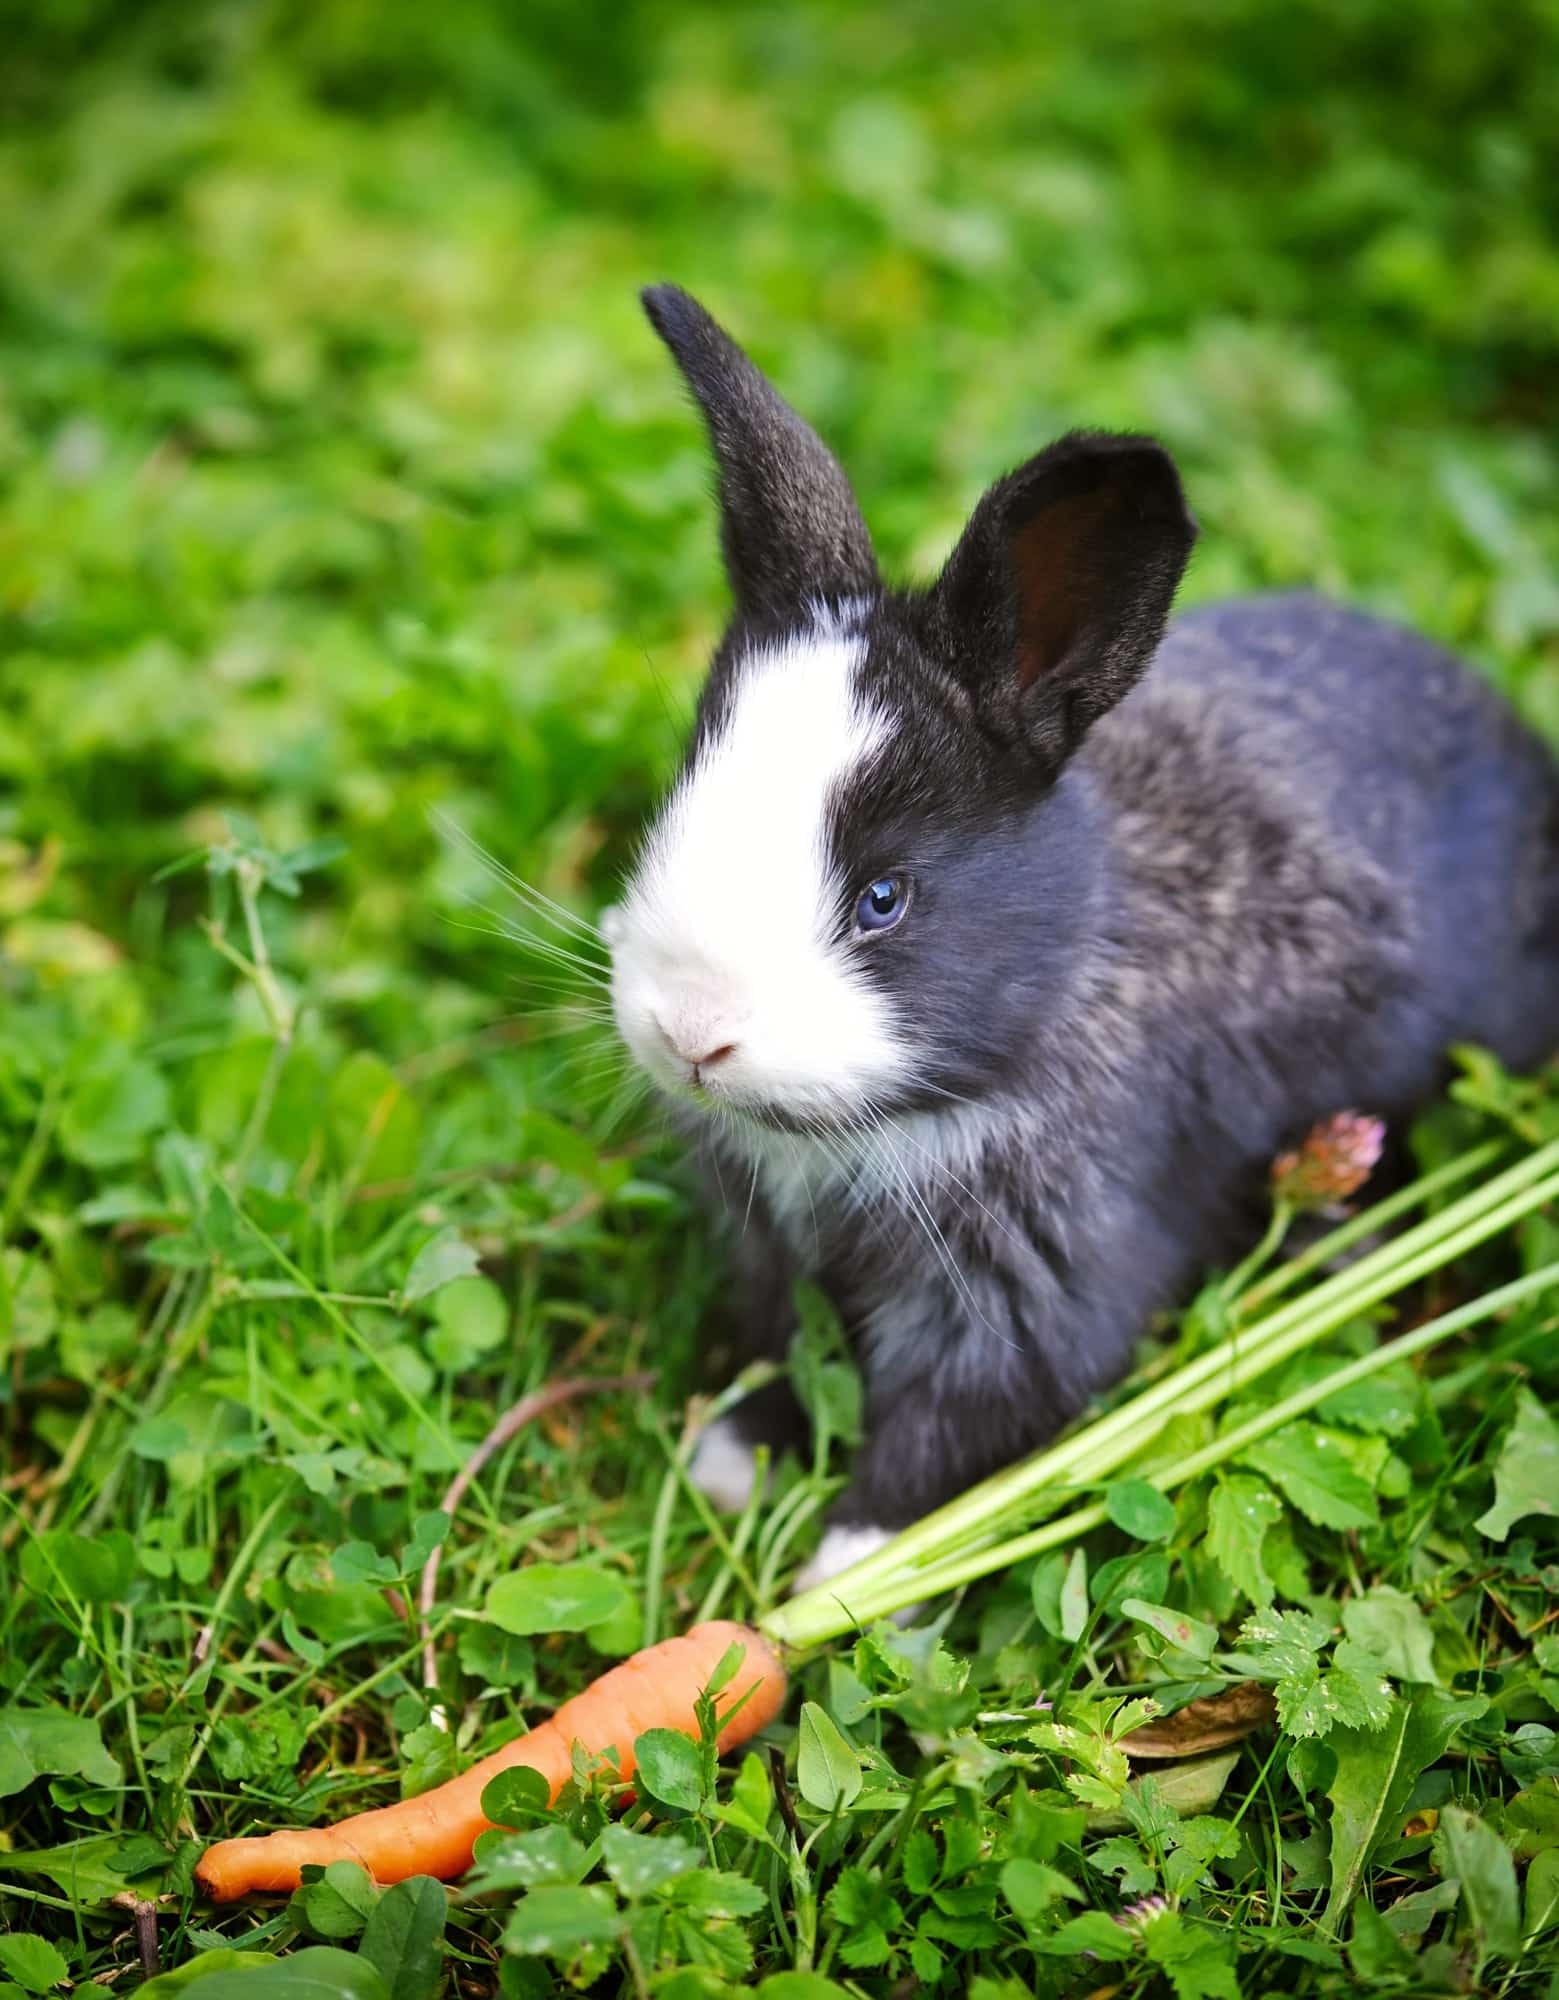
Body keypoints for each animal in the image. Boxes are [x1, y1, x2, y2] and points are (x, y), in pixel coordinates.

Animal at [603, 286, 1559, 1592]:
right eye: (674, 802)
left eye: (884, 897)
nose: (689, 1033)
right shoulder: (777, 1265)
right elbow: (779, 1350)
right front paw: (730, 1461)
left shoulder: (1039, 1291)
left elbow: (948, 1436)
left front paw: (843, 1576)